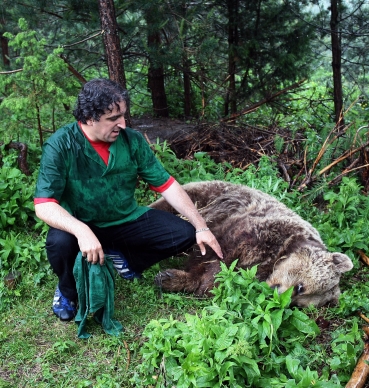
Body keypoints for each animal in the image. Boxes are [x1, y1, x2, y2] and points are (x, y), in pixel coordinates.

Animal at [148, 180, 352, 308]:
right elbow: (218, 257)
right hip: (206, 195)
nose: (278, 298)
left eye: (298, 304)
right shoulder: (254, 230)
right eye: (301, 288)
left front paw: (172, 278)